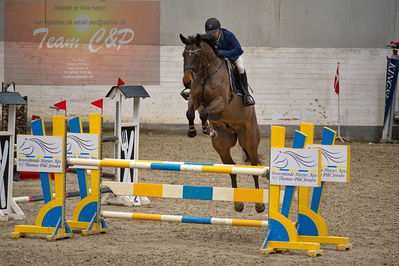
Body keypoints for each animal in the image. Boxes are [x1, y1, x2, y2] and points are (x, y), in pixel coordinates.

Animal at [180, 33, 264, 213]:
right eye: (184, 54)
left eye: (197, 55)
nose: (186, 82)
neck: (206, 74)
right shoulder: (194, 98)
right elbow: (190, 112)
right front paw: (192, 131)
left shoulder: (221, 101)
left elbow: (204, 112)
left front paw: (205, 127)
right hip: (222, 145)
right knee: (232, 168)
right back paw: (238, 204)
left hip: (250, 140)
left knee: (254, 167)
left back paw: (259, 205)